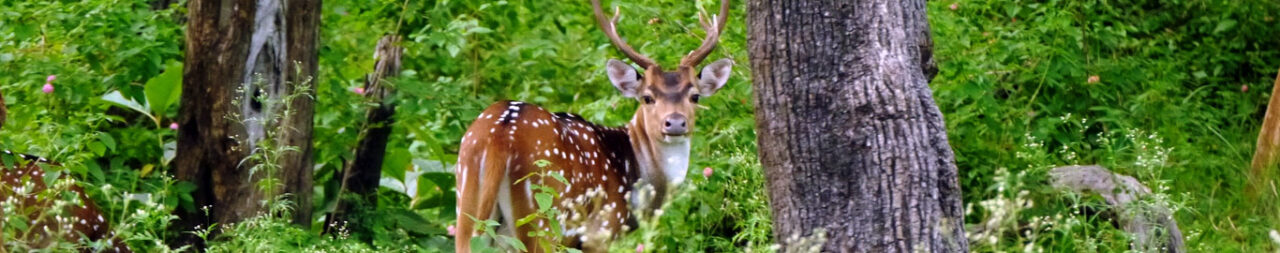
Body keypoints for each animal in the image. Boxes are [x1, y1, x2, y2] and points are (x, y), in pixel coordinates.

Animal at [453, 0, 732, 250]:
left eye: (695, 96)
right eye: (647, 97)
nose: (674, 123)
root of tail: (499, 136)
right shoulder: (601, 230)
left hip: (467, 202)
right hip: (540, 216)